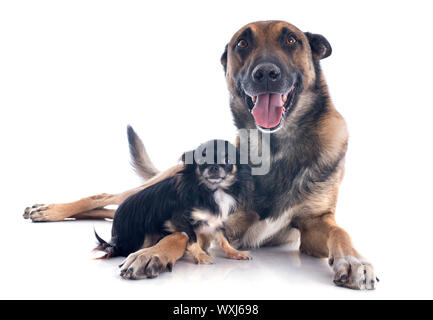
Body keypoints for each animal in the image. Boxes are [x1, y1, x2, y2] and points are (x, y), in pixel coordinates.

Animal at [93, 139, 250, 264]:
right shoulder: (179, 220)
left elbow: (224, 239)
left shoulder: (216, 222)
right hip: (141, 237)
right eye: (201, 161)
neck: (213, 191)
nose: (214, 167)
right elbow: (192, 238)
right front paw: (201, 255)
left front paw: (235, 253)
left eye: (228, 160)